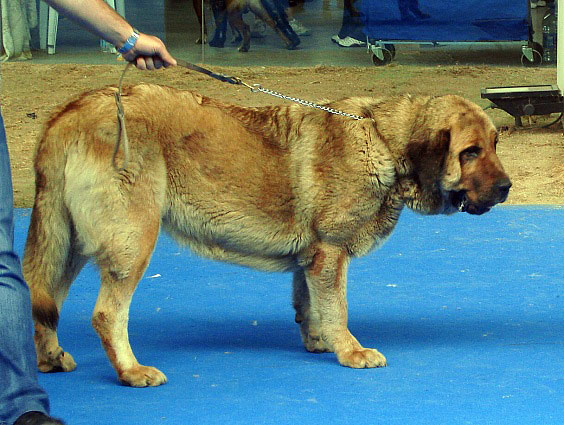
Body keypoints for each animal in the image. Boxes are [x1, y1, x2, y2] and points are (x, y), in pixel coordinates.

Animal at [23, 84, 512, 386]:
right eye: (469, 153)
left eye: (494, 145)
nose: (507, 188)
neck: (384, 143)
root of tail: (69, 113)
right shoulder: (331, 252)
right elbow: (337, 309)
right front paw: (350, 351)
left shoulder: (313, 258)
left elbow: (309, 305)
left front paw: (317, 342)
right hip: (132, 242)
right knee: (107, 315)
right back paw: (131, 371)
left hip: (68, 243)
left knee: (43, 298)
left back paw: (50, 359)